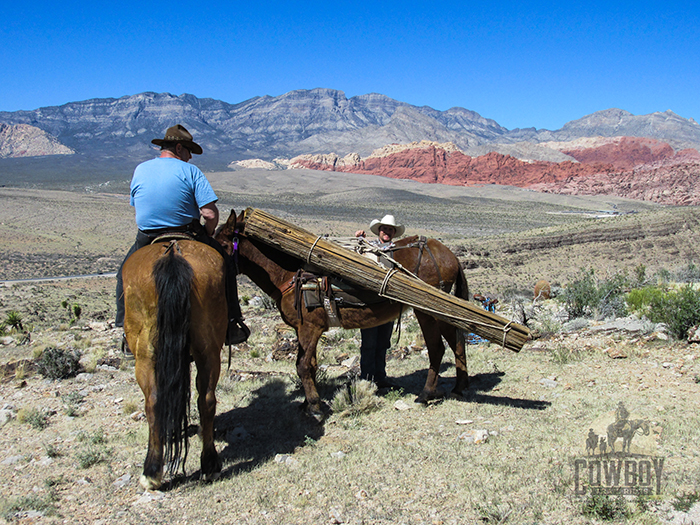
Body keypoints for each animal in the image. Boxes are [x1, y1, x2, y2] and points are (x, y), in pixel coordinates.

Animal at [121, 235, 227, 490]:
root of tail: (172, 252)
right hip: (207, 348)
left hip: (146, 352)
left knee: (154, 401)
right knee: (205, 399)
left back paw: (152, 472)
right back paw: (209, 466)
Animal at [216, 211, 468, 420]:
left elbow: (302, 366)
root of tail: (449, 255)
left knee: (437, 348)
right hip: (443, 313)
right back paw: (459, 387)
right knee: (457, 341)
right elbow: (311, 365)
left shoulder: (309, 329)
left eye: (222, 243)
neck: (289, 275)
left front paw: (315, 408)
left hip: (427, 312)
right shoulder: (304, 330)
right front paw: (308, 405)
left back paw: (426, 394)